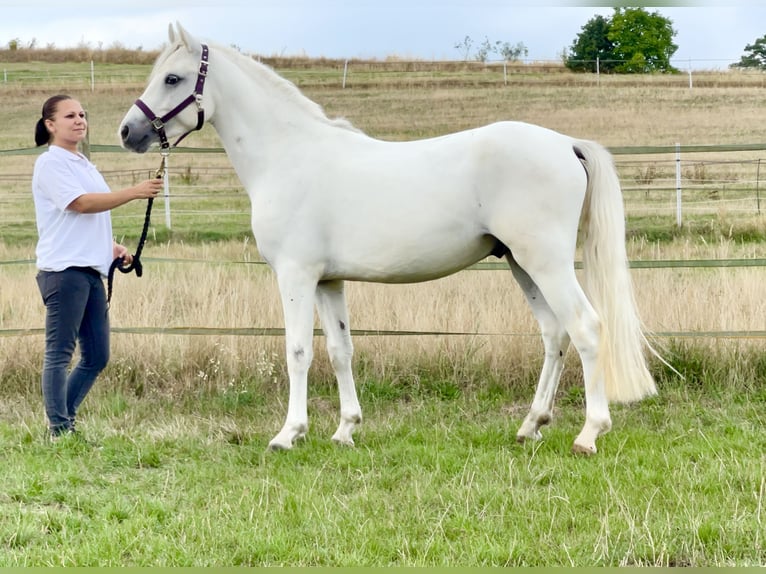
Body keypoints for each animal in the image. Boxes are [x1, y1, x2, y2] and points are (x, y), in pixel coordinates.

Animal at [120, 22, 660, 456]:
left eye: (173, 78)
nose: (128, 132)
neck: (288, 155)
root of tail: (566, 144)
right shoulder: (328, 282)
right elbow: (340, 351)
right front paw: (345, 430)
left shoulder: (296, 275)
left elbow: (298, 351)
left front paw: (288, 434)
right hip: (521, 264)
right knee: (554, 334)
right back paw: (531, 425)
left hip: (545, 262)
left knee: (586, 328)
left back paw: (589, 434)